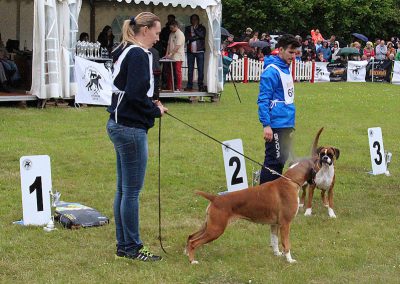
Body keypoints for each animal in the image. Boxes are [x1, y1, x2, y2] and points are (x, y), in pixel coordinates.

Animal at [186, 159, 318, 266]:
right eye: (317, 166)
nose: (316, 182)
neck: (291, 180)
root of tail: (215, 198)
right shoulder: (285, 224)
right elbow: (286, 244)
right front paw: (289, 260)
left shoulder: (275, 225)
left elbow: (274, 241)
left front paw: (277, 254)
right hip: (216, 229)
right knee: (194, 242)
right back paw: (192, 261)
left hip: (209, 226)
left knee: (191, 236)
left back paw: (186, 253)